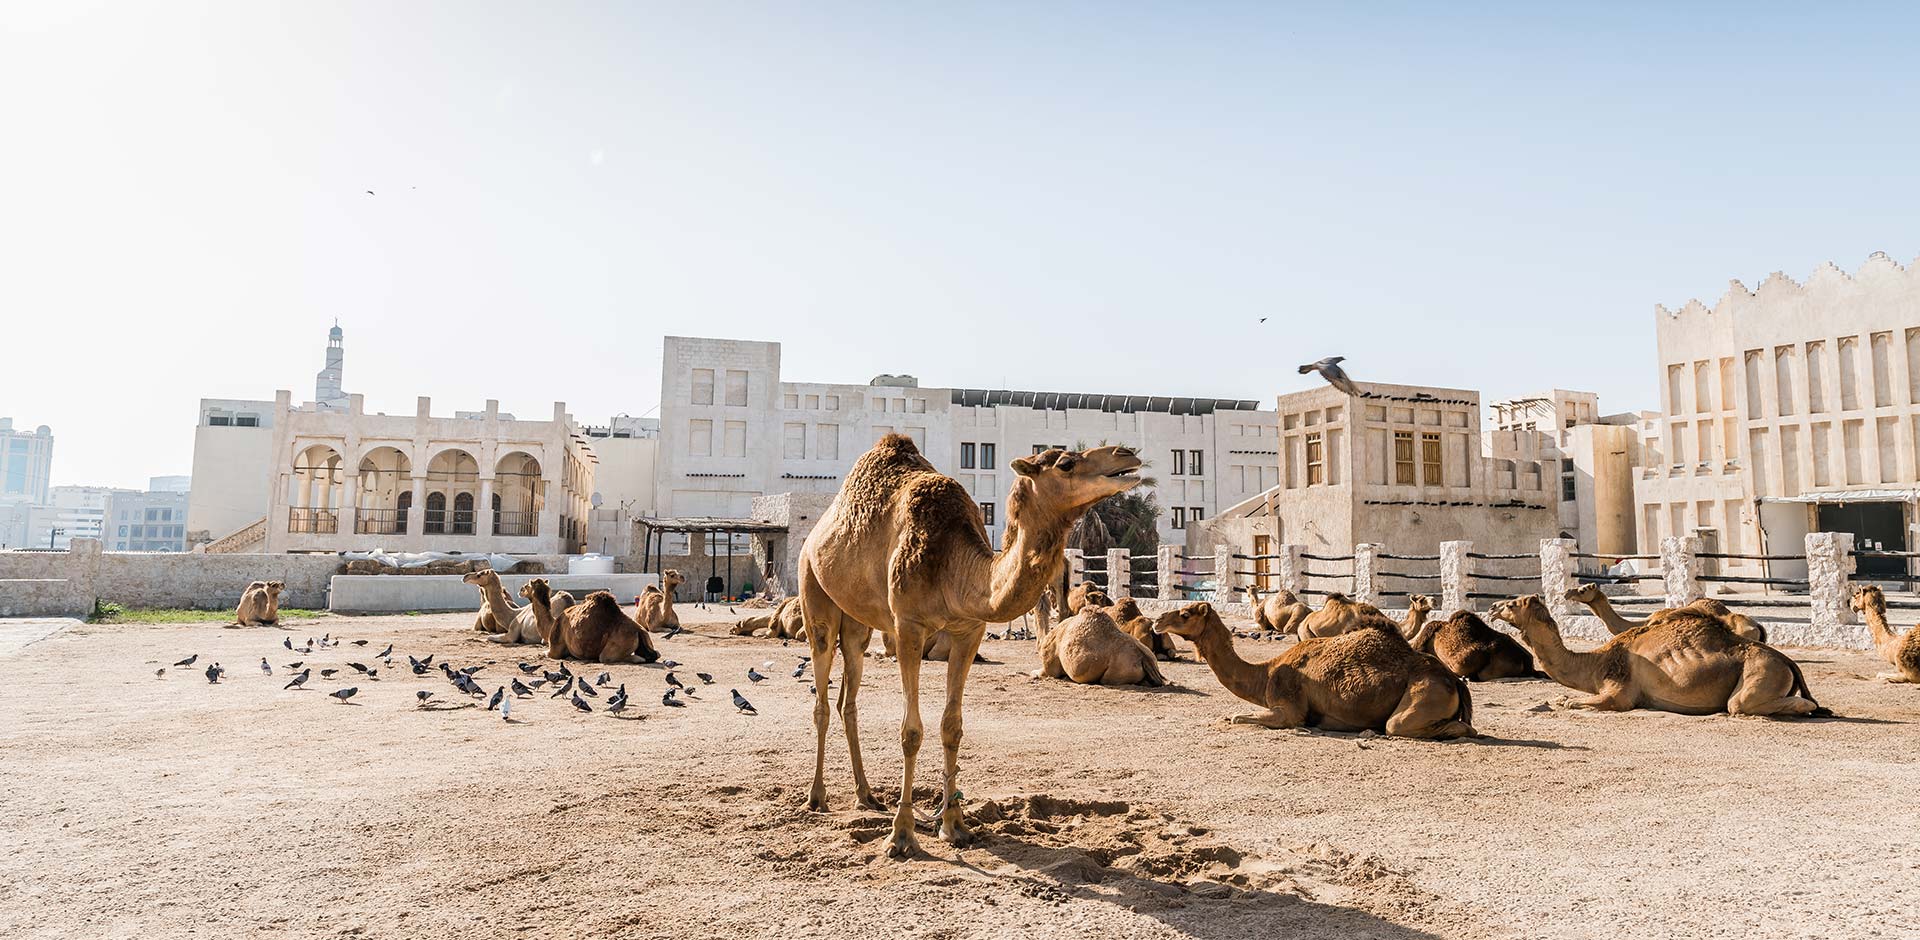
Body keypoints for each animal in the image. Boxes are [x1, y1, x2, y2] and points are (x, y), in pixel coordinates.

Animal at [794, 437, 1136, 855]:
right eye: (1066, 464)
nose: (1126, 454)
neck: (954, 566)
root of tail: (816, 532)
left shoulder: (969, 631)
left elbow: (952, 726)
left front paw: (954, 825)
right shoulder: (908, 627)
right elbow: (911, 732)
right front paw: (902, 834)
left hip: (857, 622)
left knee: (849, 698)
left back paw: (866, 795)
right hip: (814, 592)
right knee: (822, 695)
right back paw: (816, 797)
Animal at [1144, 602, 1474, 740]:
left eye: (1185, 614)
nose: (1157, 621)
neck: (1266, 673)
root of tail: (1455, 682)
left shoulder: (1289, 708)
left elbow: (1240, 717)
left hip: (1423, 694)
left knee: (1404, 726)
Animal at [1482, 594, 1827, 721]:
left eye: (1512, 604)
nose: (1492, 607)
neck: (1595, 662)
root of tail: (1788, 662)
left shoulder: (1619, 692)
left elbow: (1576, 703)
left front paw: (1565, 701)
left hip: (1760, 672)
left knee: (1739, 704)